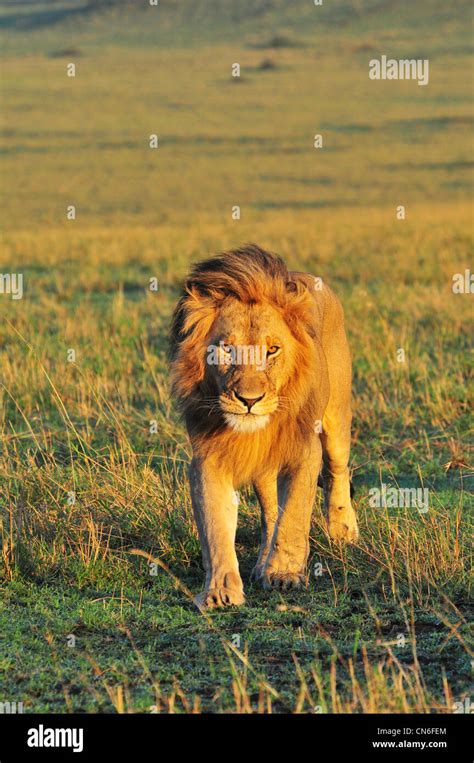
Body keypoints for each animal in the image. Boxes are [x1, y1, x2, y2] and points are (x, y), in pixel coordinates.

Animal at [170, 245, 360, 608]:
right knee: (270, 510)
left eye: (272, 350)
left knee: (337, 470)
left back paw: (343, 529)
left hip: (336, 419)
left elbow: (294, 514)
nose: (249, 400)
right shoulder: (208, 458)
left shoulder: (303, 449)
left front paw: (285, 574)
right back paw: (261, 563)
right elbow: (216, 526)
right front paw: (220, 590)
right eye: (226, 349)